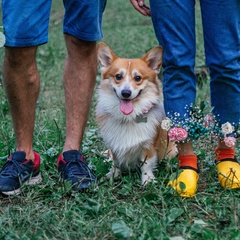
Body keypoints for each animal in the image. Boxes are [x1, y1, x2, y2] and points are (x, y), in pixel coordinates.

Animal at [96, 42, 178, 186]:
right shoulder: (114, 145)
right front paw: (113, 175)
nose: (126, 93)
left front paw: (147, 180)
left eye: (138, 78)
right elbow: (116, 161)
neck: (128, 117)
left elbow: (146, 164)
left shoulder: (148, 145)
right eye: (118, 76)